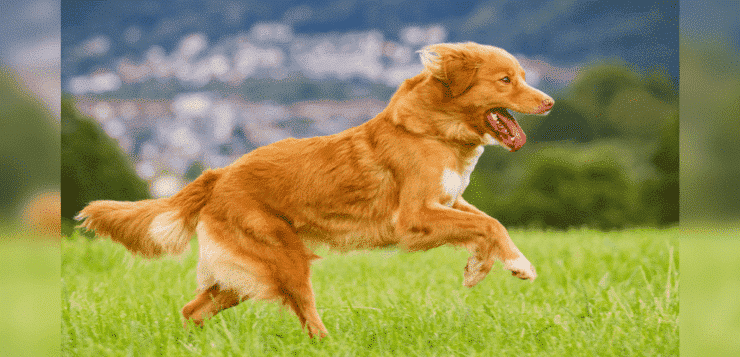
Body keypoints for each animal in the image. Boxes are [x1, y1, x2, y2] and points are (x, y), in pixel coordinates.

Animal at [79, 41, 556, 336]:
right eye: (506, 80)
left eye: (522, 76)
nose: (550, 101)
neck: (435, 129)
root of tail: (219, 174)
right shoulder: (414, 216)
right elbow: (489, 225)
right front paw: (515, 265)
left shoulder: (450, 200)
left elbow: (489, 223)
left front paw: (482, 266)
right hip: (284, 260)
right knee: (306, 315)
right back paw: (329, 343)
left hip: (247, 273)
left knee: (192, 309)